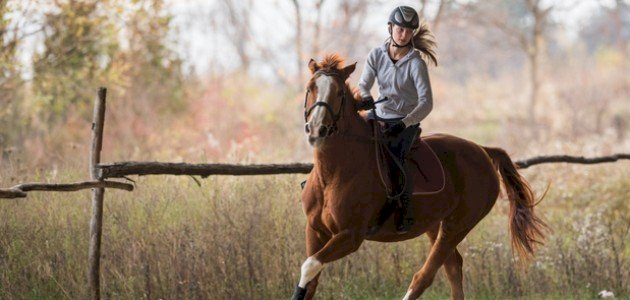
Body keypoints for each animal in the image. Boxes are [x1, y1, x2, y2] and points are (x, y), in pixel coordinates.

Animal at [294, 54, 552, 300]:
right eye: (310, 88)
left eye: (339, 93)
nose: (317, 129)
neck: (333, 173)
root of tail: (483, 150)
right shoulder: (315, 230)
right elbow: (311, 282)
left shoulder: (351, 235)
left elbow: (309, 266)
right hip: (434, 224)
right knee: (453, 267)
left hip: (458, 225)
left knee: (425, 276)